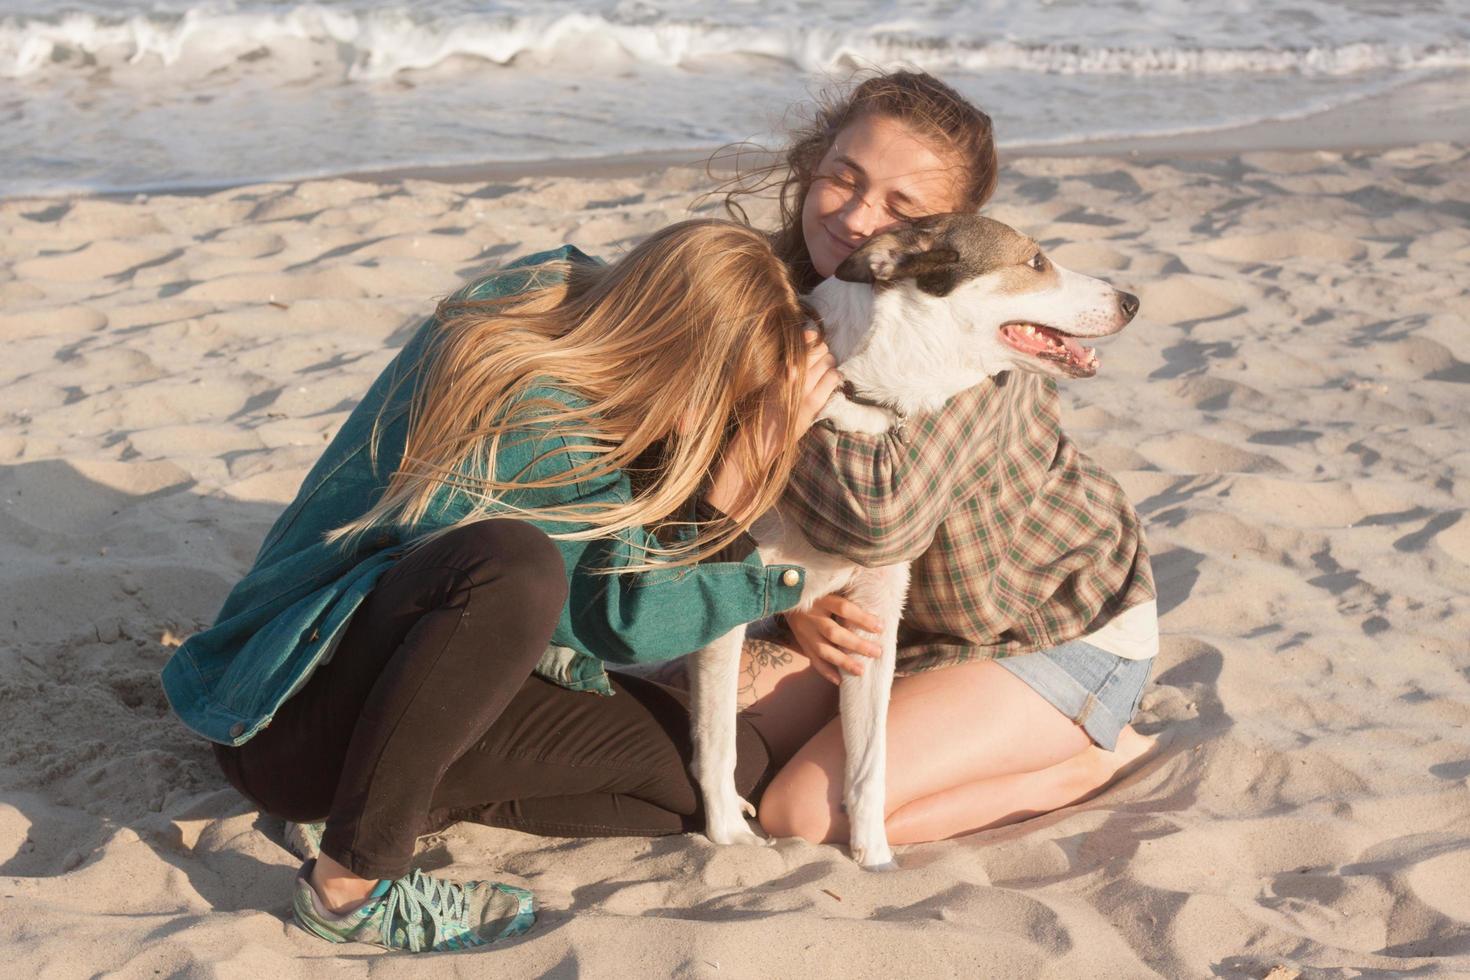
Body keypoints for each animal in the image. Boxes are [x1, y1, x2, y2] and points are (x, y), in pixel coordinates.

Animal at [682, 213, 1140, 863]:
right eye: (1035, 262)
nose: (1132, 301)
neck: (856, 389)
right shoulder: (717, 606)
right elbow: (720, 740)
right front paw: (729, 837)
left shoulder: (874, 615)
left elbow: (869, 762)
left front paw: (873, 859)